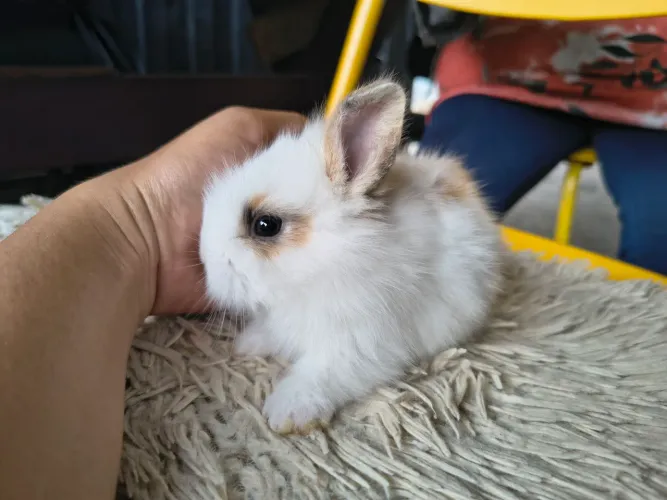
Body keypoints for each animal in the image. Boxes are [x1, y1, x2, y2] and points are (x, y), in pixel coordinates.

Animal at [199, 78, 504, 434]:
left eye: (266, 225)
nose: (205, 262)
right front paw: (248, 344)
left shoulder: (361, 344)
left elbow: (323, 374)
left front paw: (288, 413)